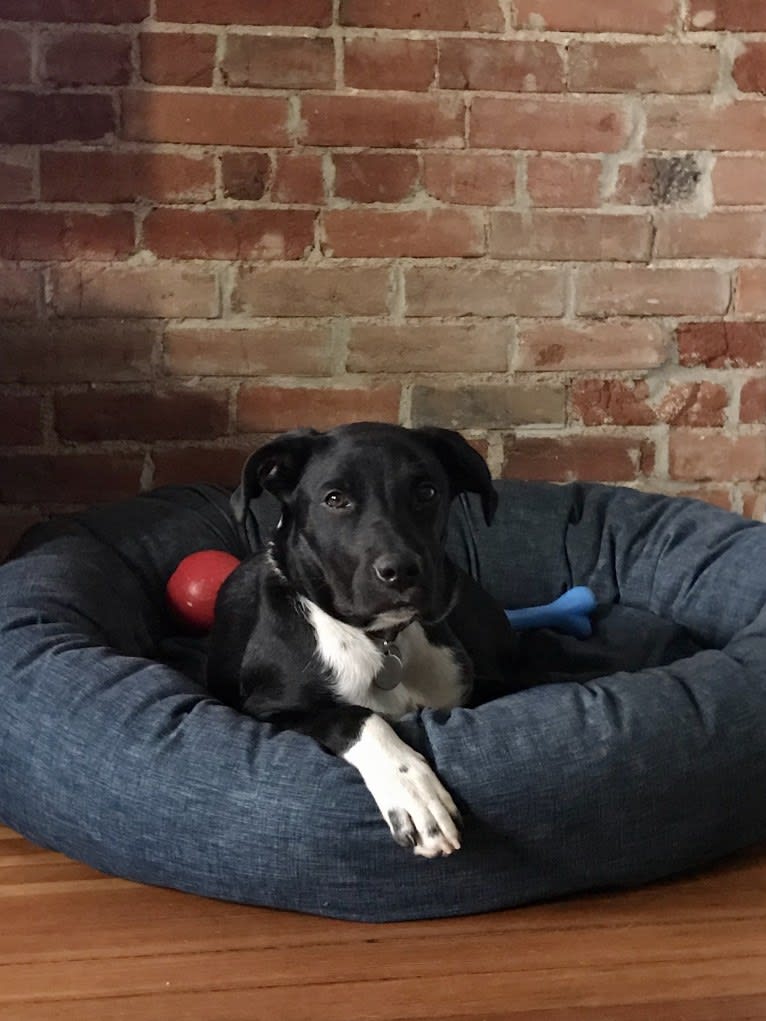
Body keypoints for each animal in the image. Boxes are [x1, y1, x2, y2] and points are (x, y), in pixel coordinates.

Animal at [210, 422, 522, 861]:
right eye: (334, 499)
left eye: (426, 491)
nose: (401, 571)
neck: (381, 641)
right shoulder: (266, 710)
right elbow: (355, 716)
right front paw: (413, 791)